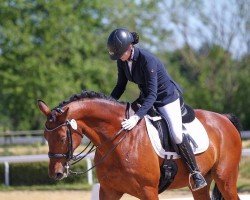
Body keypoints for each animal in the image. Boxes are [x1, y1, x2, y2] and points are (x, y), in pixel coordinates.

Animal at [37, 90, 242, 200]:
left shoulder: (148, 191)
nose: (56, 173)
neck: (118, 141)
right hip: (201, 185)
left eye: (62, 138)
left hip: (225, 179)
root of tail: (224, 118)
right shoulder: (109, 191)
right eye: (46, 136)